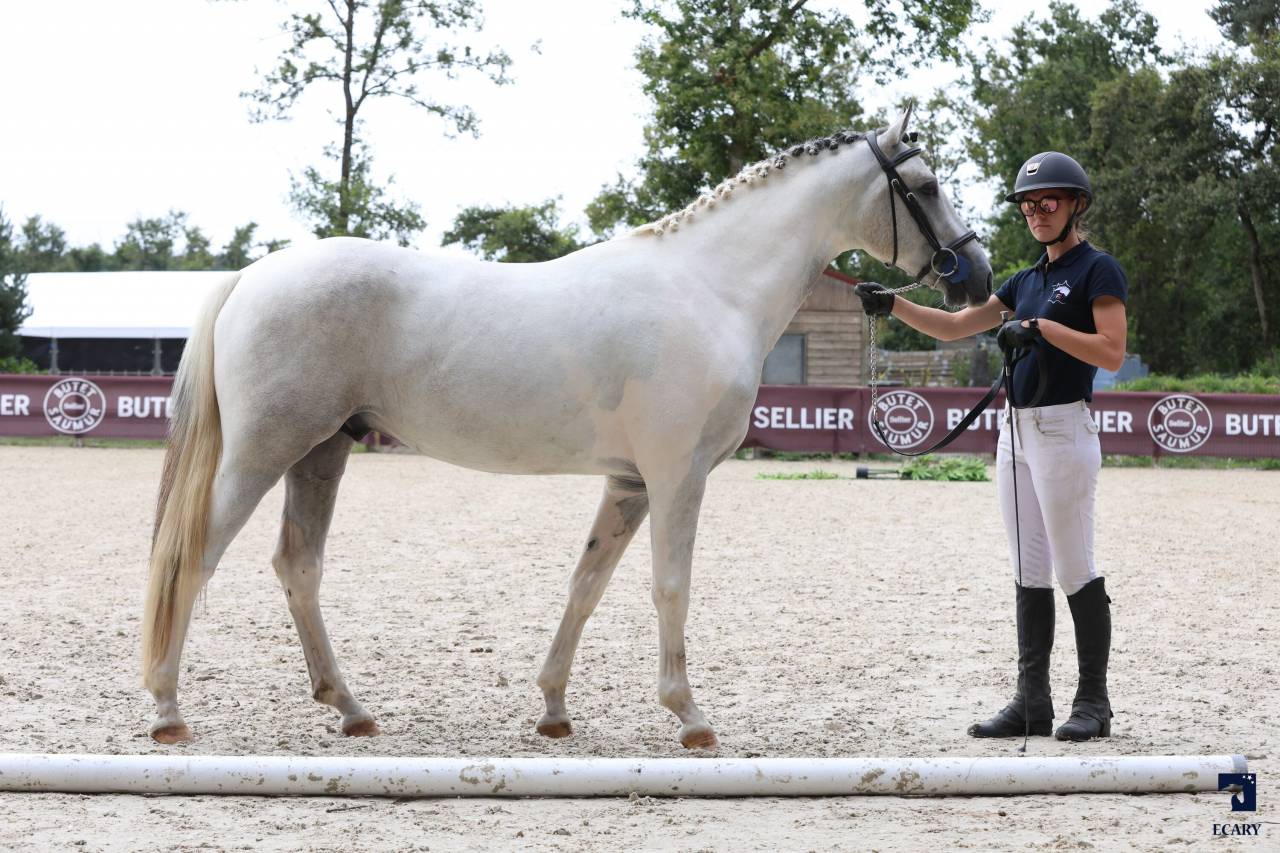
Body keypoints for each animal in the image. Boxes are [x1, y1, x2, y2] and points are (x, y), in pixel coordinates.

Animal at [141, 106, 992, 749]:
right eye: (924, 185)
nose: (977, 274)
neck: (708, 287)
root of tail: (253, 274)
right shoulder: (677, 477)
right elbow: (670, 585)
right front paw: (690, 715)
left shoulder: (628, 483)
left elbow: (587, 585)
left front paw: (553, 707)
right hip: (263, 454)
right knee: (195, 558)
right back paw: (168, 710)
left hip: (322, 452)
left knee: (299, 567)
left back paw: (350, 708)